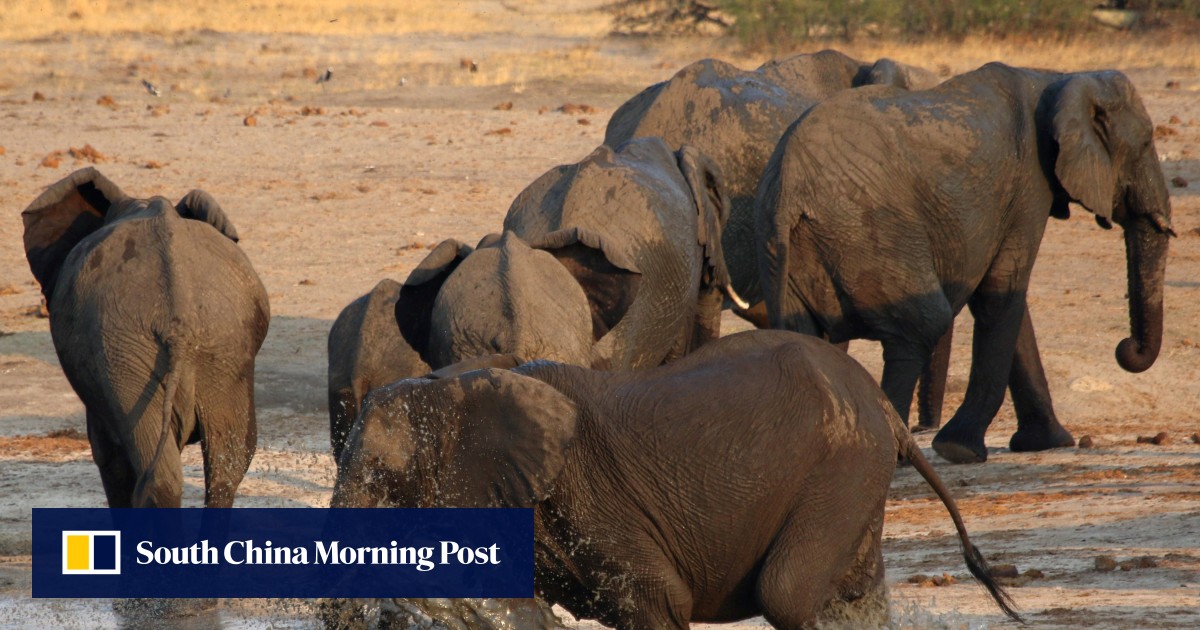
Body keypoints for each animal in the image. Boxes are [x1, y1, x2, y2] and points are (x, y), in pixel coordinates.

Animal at [22, 167, 270, 507]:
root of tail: (178, 317)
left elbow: (107, 454)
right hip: (223, 348)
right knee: (228, 465)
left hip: (124, 352)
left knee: (156, 467)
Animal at [330, 330, 1020, 629]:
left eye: (382, 480)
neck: (462, 381)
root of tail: (883, 407)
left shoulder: (592, 497)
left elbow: (660, 602)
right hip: (854, 472)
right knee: (850, 599)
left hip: (840, 465)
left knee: (788, 594)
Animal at [755, 63, 1174, 464]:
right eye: (1146, 143)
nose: (1125, 348)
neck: (1060, 78)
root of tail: (789, 184)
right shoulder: (1029, 185)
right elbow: (1002, 291)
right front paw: (959, 451)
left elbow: (1009, 302)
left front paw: (1047, 443)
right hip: (868, 229)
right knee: (922, 325)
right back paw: (895, 453)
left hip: (793, 247)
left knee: (808, 336)